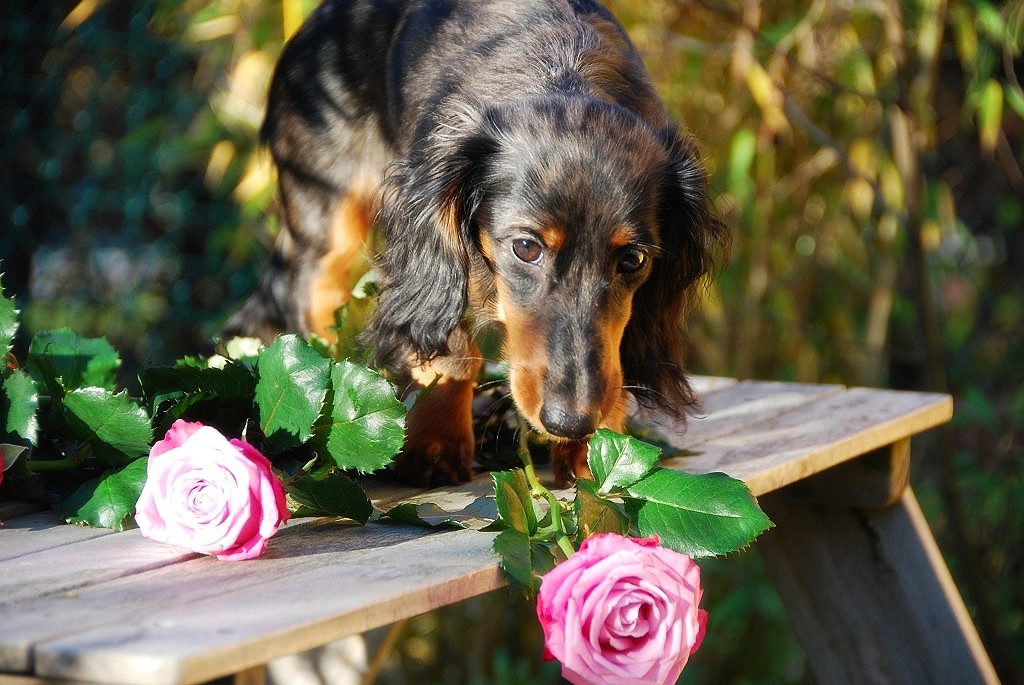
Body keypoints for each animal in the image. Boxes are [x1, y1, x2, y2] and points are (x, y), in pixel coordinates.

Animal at [227, 0, 729, 485]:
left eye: (633, 259)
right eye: (526, 247)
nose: (571, 422)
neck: (562, 71)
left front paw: (600, 451)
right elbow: (450, 351)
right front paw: (436, 445)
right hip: (325, 219)